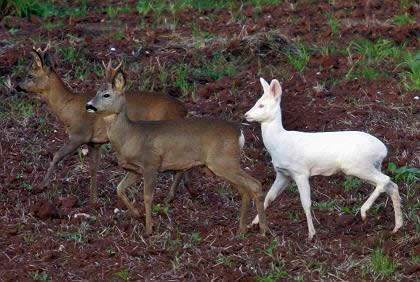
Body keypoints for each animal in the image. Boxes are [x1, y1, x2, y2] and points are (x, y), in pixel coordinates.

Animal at [16, 47, 194, 204]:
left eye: (30, 75)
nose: (18, 86)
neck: (67, 107)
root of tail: (184, 110)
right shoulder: (94, 142)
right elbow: (93, 169)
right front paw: (93, 200)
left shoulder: (79, 134)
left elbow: (57, 156)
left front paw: (40, 186)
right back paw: (189, 189)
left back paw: (170, 197)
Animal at [85, 68, 270, 236]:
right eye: (96, 92)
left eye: (106, 95)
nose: (88, 106)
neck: (129, 136)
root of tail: (240, 134)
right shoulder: (135, 170)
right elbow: (119, 189)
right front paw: (138, 216)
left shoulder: (151, 164)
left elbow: (147, 197)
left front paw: (149, 229)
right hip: (223, 165)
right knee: (245, 189)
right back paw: (242, 229)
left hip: (224, 162)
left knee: (254, 184)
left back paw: (262, 230)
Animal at [244, 77, 402, 240]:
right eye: (257, 102)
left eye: (261, 105)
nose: (246, 115)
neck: (279, 143)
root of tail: (383, 150)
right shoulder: (283, 174)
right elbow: (269, 197)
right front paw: (252, 223)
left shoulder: (300, 172)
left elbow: (305, 203)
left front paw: (311, 234)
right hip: (370, 166)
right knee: (391, 185)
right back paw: (397, 227)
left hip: (357, 165)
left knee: (384, 180)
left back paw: (364, 212)